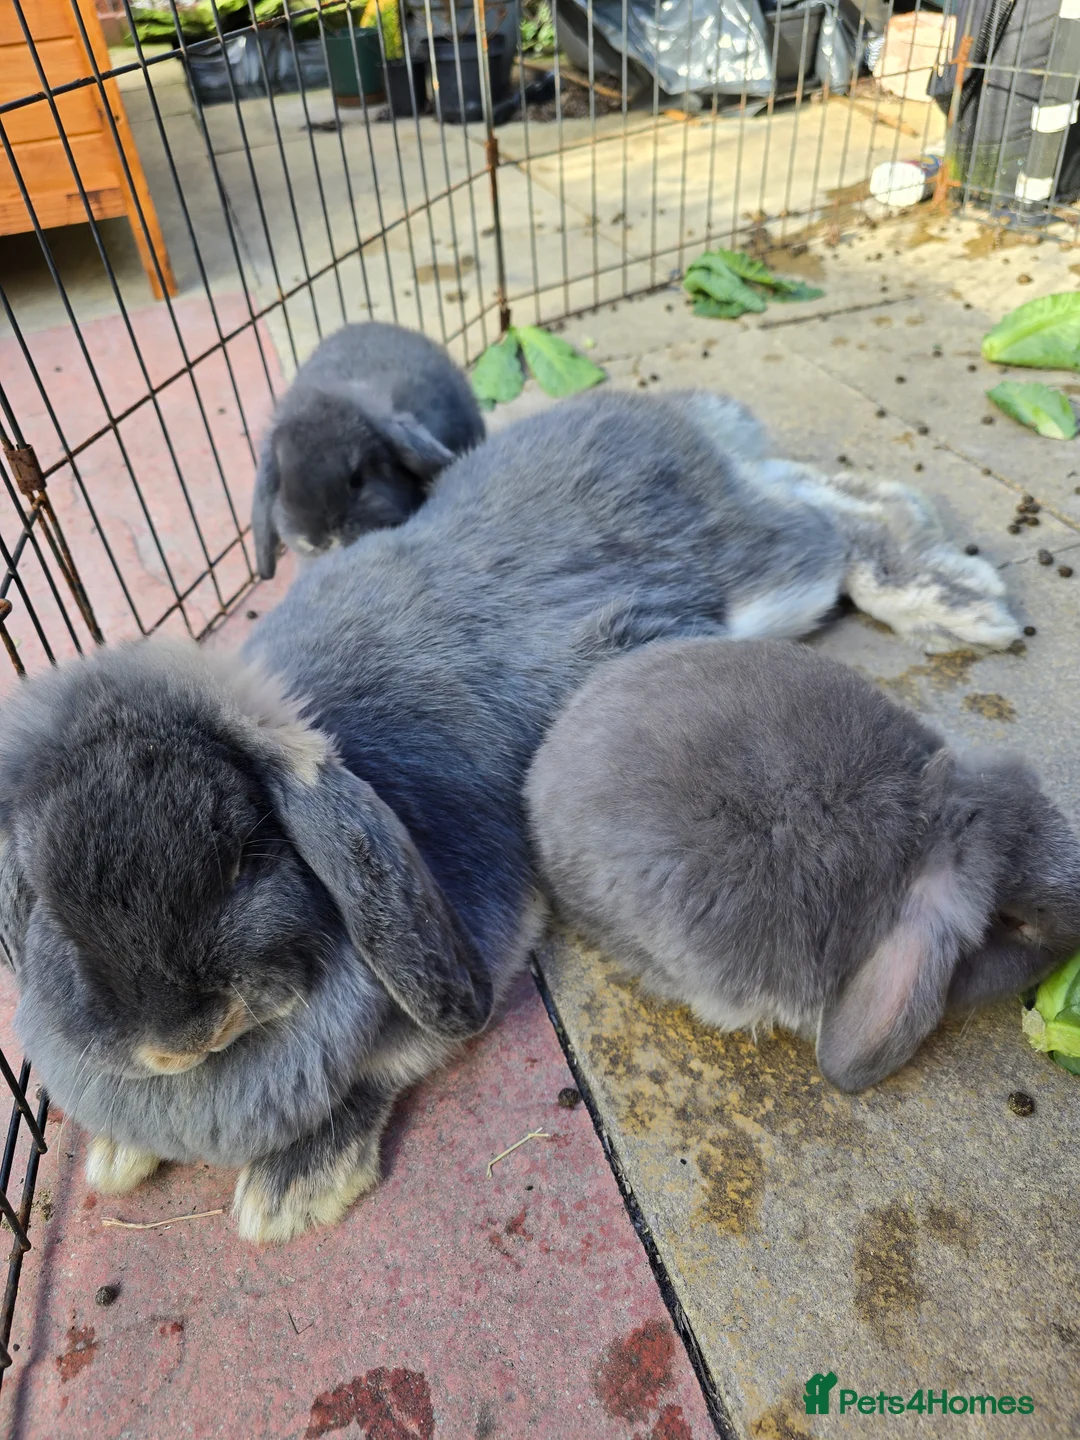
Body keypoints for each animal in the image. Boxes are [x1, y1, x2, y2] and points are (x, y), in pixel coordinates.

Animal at [0, 389, 1020, 1246]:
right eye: (47, 898)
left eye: (247, 857)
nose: (178, 1039)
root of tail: (667, 411)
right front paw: (117, 1153)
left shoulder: (475, 927)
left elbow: (383, 1064)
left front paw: (290, 1188)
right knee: (818, 491)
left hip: (766, 579)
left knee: (835, 526)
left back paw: (965, 604)